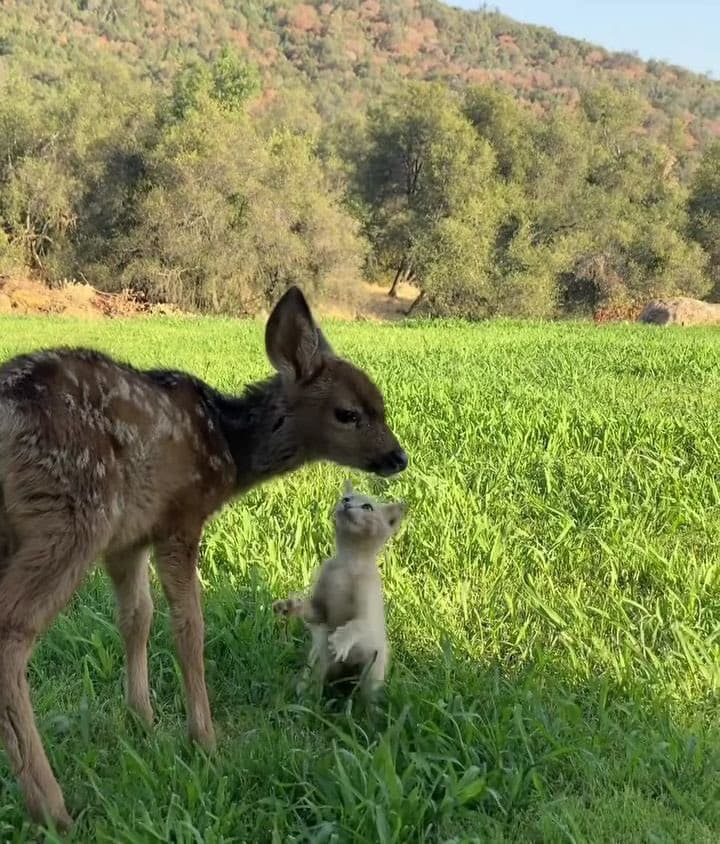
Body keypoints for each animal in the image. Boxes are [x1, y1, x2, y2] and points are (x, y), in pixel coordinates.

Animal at [0, 286, 408, 831]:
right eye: (348, 413)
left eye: (381, 405)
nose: (398, 458)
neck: (228, 447)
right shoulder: (181, 518)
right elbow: (189, 627)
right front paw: (204, 739)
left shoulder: (129, 539)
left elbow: (136, 617)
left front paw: (143, 721)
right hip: (70, 512)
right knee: (12, 631)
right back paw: (51, 806)